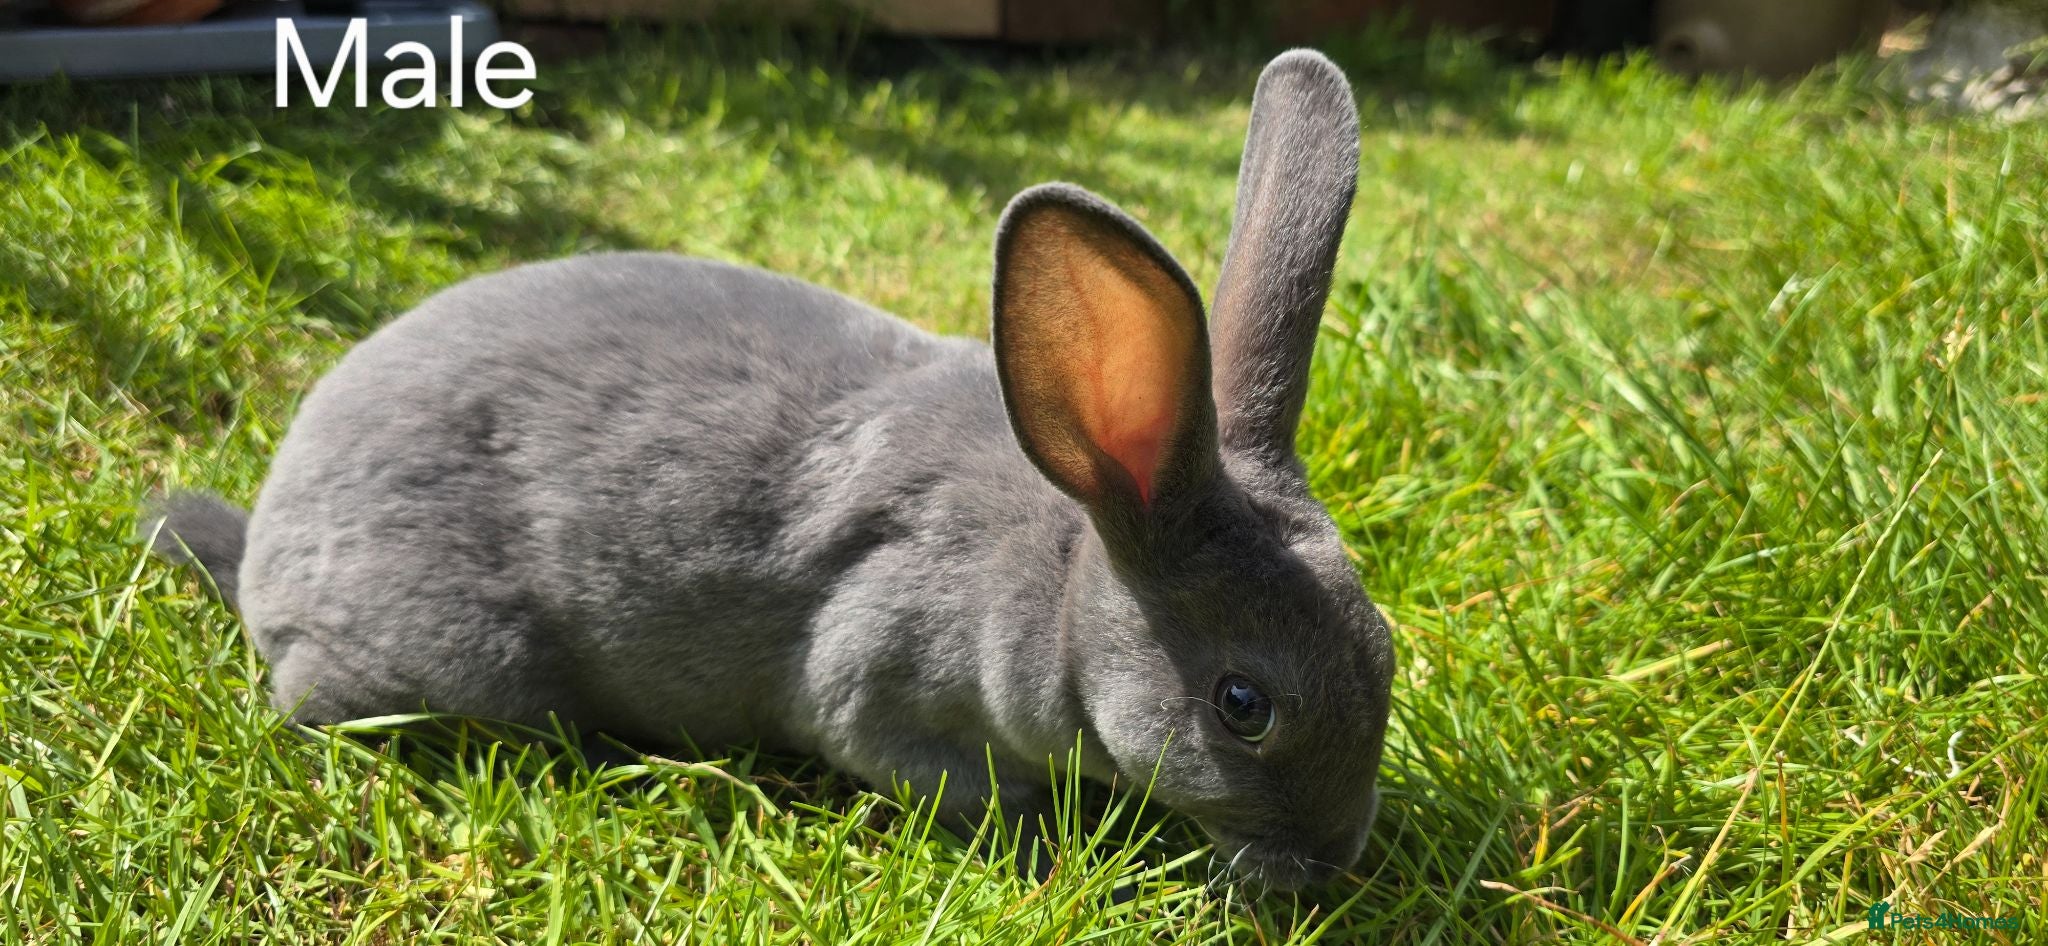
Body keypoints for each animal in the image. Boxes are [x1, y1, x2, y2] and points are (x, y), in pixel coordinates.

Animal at [147, 49, 1394, 891]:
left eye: (1383, 646)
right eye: (1242, 705)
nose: (1334, 857)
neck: (1059, 577)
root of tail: (269, 541)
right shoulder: (877, 672)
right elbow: (914, 758)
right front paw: (1048, 841)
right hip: (456, 658)